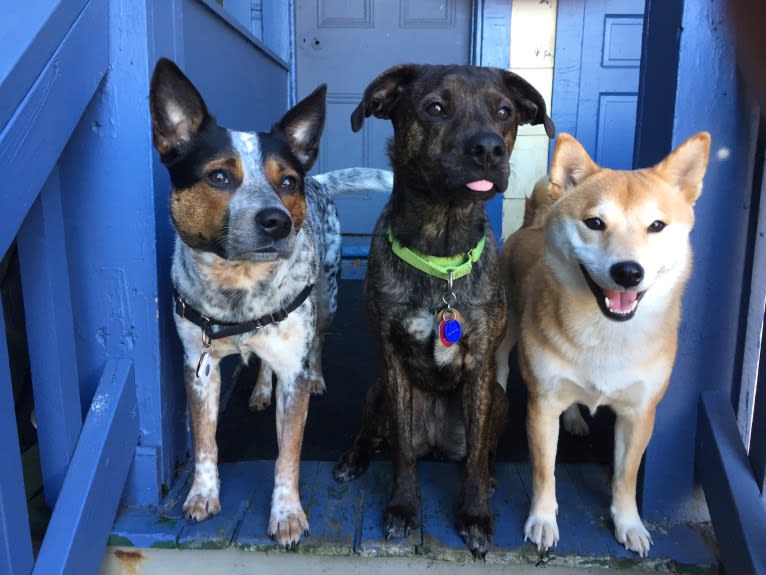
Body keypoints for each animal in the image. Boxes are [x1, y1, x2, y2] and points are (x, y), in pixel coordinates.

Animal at [148, 58, 390, 548]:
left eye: (287, 182)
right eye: (218, 176)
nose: (276, 221)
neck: (239, 288)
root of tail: (320, 179)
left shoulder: (292, 368)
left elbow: (288, 452)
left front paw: (287, 513)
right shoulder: (197, 365)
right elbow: (205, 440)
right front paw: (202, 495)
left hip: (327, 297)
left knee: (316, 341)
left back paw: (316, 376)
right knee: (260, 362)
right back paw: (260, 390)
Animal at [332, 65, 556, 560]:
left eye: (504, 112)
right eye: (435, 107)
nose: (488, 148)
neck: (442, 248)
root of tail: (435, 444)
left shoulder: (482, 367)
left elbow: (473, 456)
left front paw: (474, 515)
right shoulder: (392, 362)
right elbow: (400, 451)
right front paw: (402, 508)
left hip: (501, 398)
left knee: (482, 447)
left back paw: (490, 476)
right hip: (376, 391)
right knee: (373, 435)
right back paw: (353, 457)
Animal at [498, 132, 712, 560]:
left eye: (657, 225)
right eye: (595, 223)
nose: (628, 272)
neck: (606, 335)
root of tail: (532, 226)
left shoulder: (641, 413)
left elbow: (626, 475)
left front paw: (629, 524)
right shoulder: (542, 405)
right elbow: (544, 470)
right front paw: (543, 519)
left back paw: (576, 419)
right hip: (508, 326)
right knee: (498, 363)